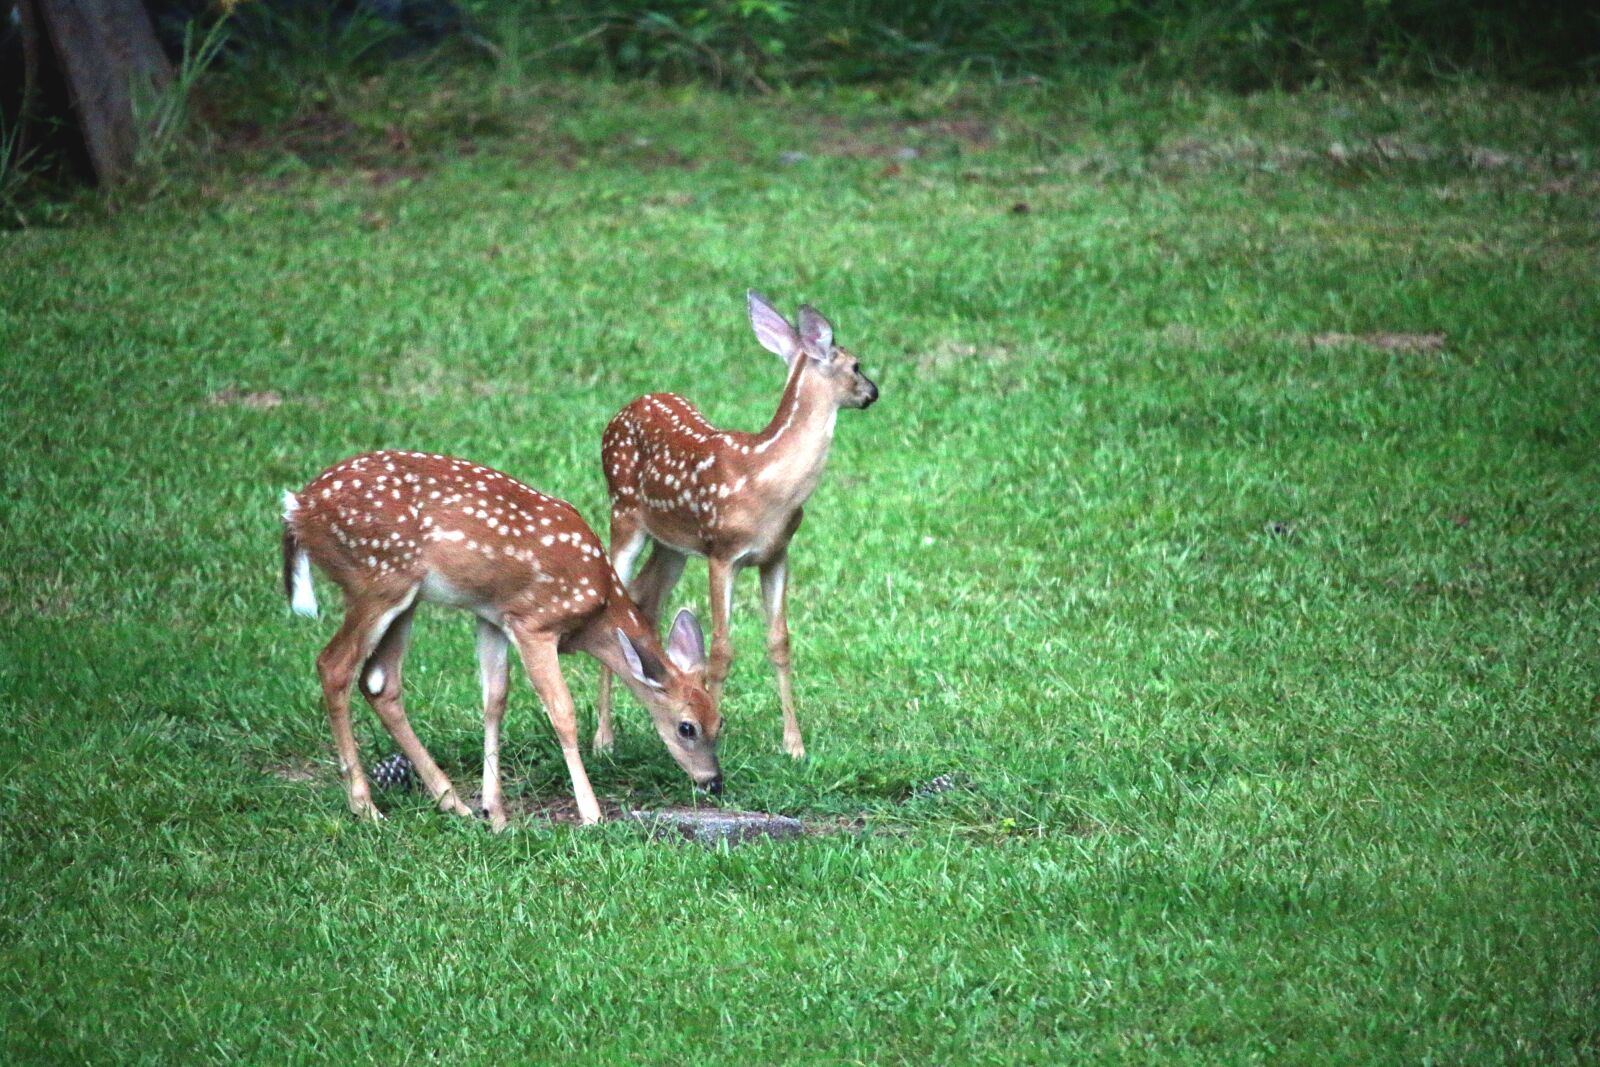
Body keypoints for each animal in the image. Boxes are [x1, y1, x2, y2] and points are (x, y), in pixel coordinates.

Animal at [280, 449, 722, 829]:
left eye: (720, 720)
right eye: (687, 728)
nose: (713, 782)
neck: (595, 612)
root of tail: (297, 508)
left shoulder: (492, 615)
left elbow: (495, 699)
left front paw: (495, 811)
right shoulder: (535, 623)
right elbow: (562, 713)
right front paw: (591, 813)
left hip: (403, 597)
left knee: (379, 681)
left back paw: (453, 803)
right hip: (376, 579)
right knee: (334, 665)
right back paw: (366, 807)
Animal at [594, 291, 879, 760]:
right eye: (855, 364)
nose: (873, 391)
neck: (767, 483)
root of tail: (623, 410)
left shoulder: (777, 553)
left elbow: (780, 642)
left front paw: (794, 745)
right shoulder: (721, 552)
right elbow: (722, 649)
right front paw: (712, 733)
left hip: (671, 544)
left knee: (643, 600)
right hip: (624, 514)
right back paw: (603, 738)